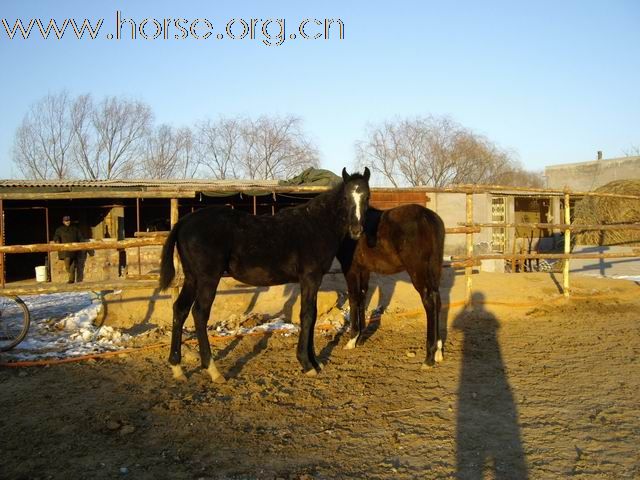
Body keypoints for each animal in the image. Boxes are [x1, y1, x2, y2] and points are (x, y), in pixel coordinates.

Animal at [159, 169, 370, 382]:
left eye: (367, 197)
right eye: (345, 198)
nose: (356, 230)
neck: (316, 224)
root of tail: (184, 221)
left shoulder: (313, 279)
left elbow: (312, 314)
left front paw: (315, 362)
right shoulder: (310, 277)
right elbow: (308, 315)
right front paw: (307, 363)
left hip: (191, 278)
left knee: (180, 309)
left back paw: (177, 368)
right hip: (207, 278)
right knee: (200, 313)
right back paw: (213, 370)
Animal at [338, 203, 448, 368]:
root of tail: (427, 217)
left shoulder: (351, 268)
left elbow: (354, 299)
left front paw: (352, 340)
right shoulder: (364, 269)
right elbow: (362, 297)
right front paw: (361, 338)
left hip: (418, 270)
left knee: (429, 301)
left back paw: (429, 358)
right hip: (434, 269)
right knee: (437, 300)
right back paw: (439, 352)